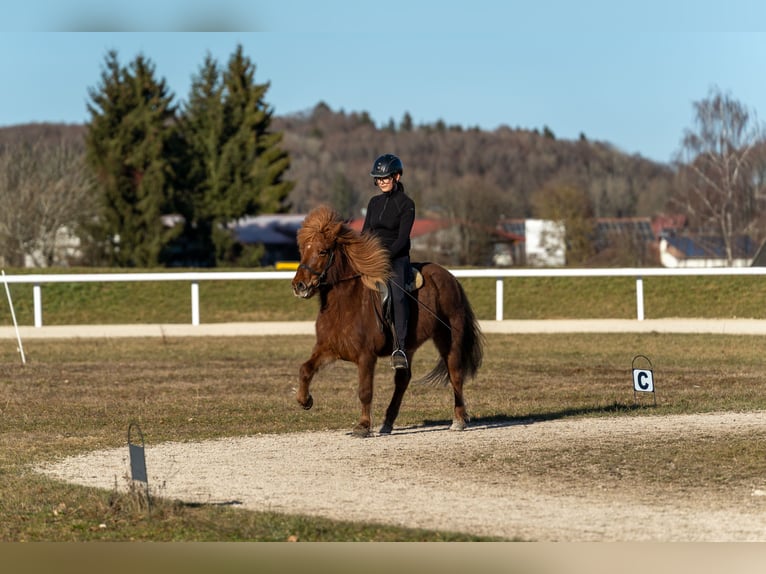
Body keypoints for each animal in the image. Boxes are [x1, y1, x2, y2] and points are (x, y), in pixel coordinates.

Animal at [291, 205, 484, 437]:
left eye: (323, 251)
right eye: (303, 250)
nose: (299, 286)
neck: (344, 303)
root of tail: (450, 277)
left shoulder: (366, 356)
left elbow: (365, 391)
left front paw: (363, 426)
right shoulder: (328, 348)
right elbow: (305, 369)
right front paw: (305, 400)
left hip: (449, 339)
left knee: (455, 374)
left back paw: (459, 420)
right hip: (407, 347)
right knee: (403, 380)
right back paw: (387, 423)